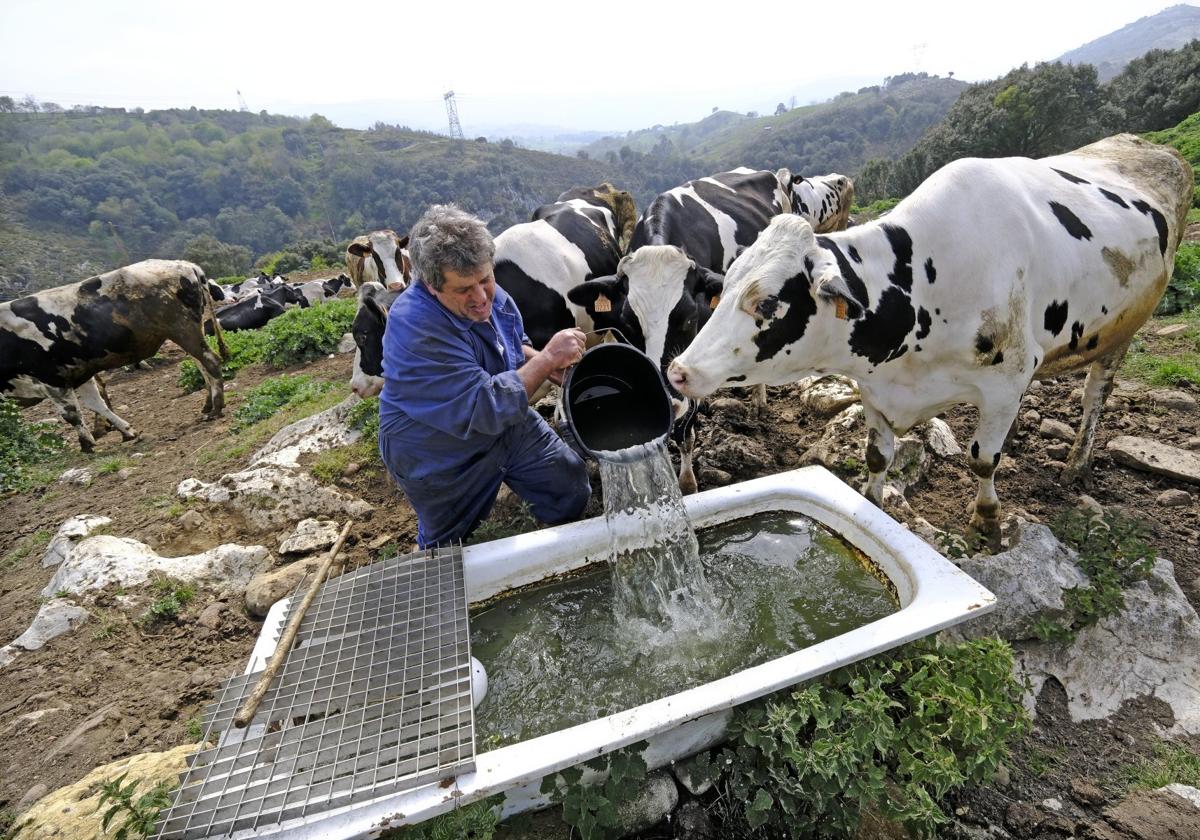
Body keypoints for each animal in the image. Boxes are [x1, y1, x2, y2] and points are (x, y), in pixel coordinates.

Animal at [1, 259, 226, 448]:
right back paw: (208, 405)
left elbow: (72, 415)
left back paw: (216, 408)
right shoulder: (77, 373)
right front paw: (125, 431)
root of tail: (186, 265)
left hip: (183, 330)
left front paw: (87, 444)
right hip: (188, 332)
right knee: (203, 366)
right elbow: (96, 403)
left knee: (211, 362)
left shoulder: (52, 379)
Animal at [672, 134, 1195, 547]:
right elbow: (878, 455)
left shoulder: (1006, 381)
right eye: (725, 286)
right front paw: (873, 505)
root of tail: (1150, 146)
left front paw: (986, 522)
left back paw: (1076, 462)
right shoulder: (875, 386)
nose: (678, 371)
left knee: (1095, 393)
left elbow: (983, 459)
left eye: (765, 304)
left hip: (1125, 326)